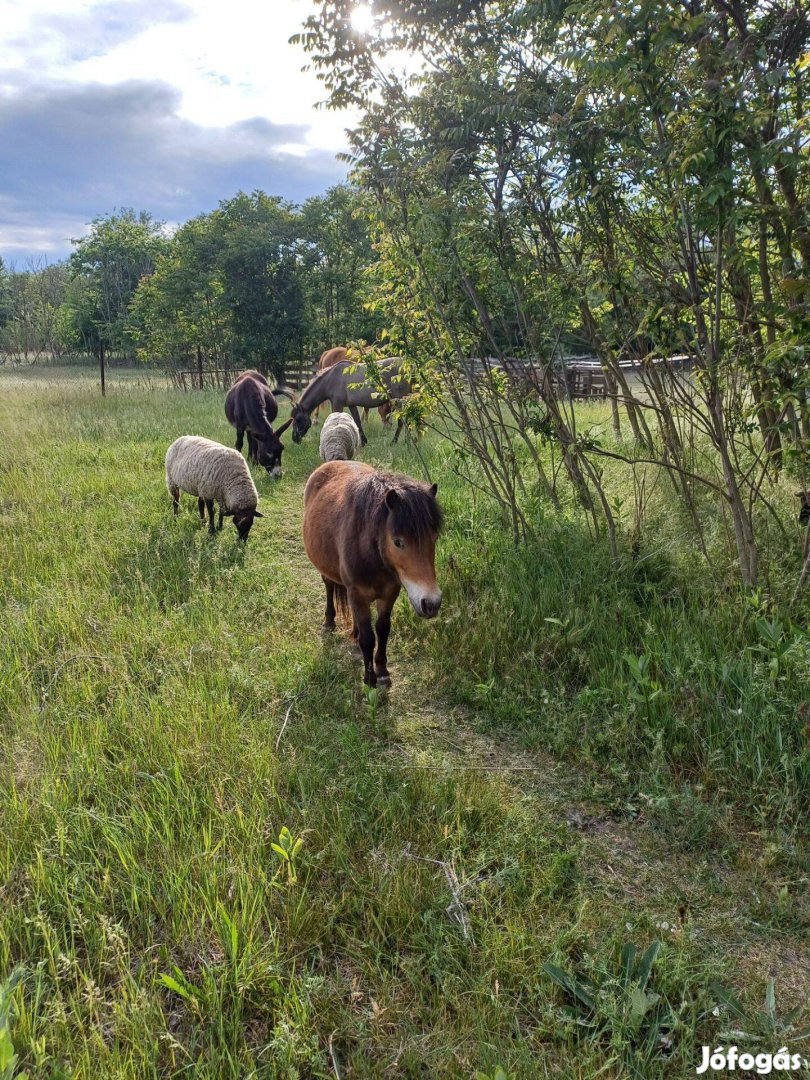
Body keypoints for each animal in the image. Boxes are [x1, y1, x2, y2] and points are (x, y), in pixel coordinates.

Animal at [304, 462, 444, 682]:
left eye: (435, 537)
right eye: (398, 542)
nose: (431, 603)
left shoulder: (389, 593)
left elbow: (382, 629)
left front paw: (382, 670)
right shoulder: (358, 594)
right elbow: (368, 638)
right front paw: (369, 678)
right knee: (329, 587)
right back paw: (329, 622)